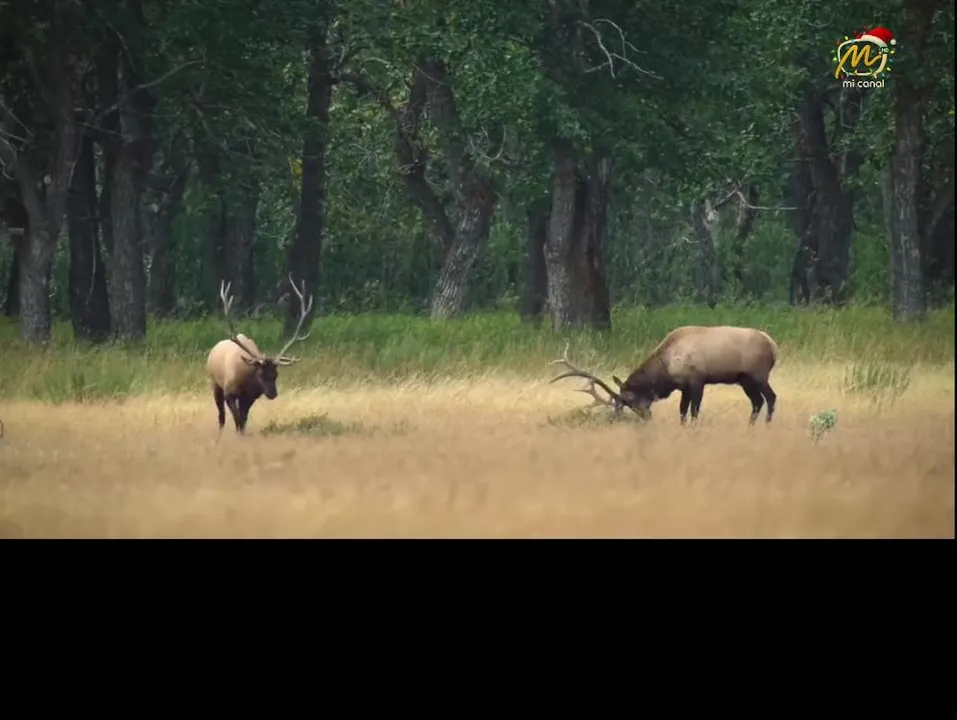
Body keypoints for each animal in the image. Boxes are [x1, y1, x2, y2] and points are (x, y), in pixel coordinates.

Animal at [206, 274, 314, 434]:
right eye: (261, 374)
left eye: (276, 374)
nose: (272, 394)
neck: (245, 380)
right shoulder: (229, 393)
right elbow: (237, 420)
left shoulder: (250, 397)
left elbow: (243, 420)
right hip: (215, 383)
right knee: (221, 416)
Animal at [549, 325, 780, 425]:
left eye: (629, 401)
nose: (647, 418)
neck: (665, 369)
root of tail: (773, 346)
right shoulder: (684, 386)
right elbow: (682, 411)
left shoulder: (697, 380)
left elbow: (694, 411)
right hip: (744, 380)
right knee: (757, 402)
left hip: (758, 375)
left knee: (770, 398)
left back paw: (766, 427)